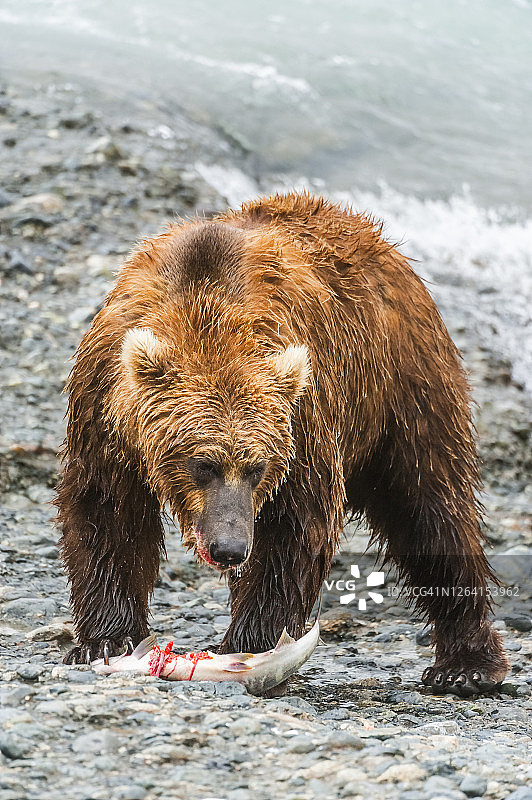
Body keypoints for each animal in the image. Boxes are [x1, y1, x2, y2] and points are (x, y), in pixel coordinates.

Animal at [56, 191, 508, 696]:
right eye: (202, 463)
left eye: (257, 467)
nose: (230, 548)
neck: (205, 311)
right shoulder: (105, 406)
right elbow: (108, 513)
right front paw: (105, 639)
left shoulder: (303, 414)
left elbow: (293, 525)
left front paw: (250, 642)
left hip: (404, 389)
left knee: (431, 509)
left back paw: (466, 665)